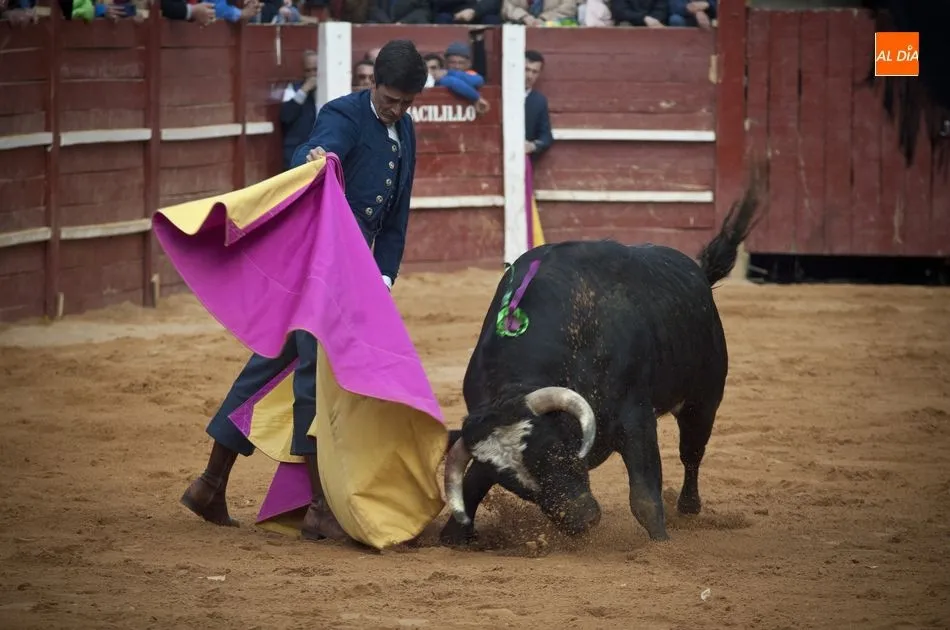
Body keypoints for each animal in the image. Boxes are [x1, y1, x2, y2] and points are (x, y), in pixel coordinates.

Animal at [439, 174, 763, 546]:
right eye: (515, 486)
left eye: (554, 450)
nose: (584, 519)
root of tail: (697, 272)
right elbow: (472, 485)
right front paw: (451, 535)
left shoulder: (635, 416)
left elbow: (644, 496)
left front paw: (661, 544)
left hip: (703, 399)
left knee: (692, 452)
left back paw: (689, 507)